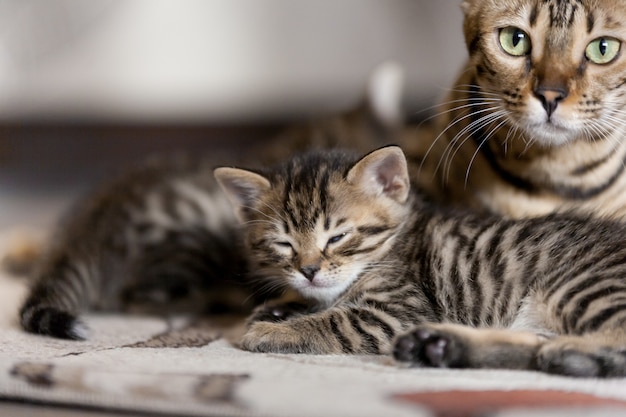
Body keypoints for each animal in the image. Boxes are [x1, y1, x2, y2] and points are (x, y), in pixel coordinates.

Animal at [218, 145, 626, 376]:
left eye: (337, 237)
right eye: (284, 244)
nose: (308, 271)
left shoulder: (398, 311)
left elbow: (335, 321)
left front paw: (272, 330)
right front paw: (279, 308)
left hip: (581, 287)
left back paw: (571, 354)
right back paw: (442, 346)